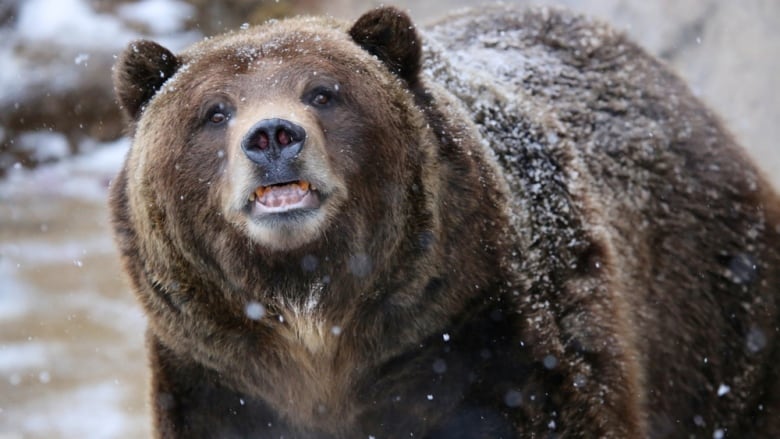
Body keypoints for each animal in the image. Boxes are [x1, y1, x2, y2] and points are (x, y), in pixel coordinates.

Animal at [108, 4, 780, 439]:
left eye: (323, 92)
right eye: (215, 110)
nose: (273, 136)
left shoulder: (490, 347)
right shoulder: (217, 382)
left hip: (715, 313)